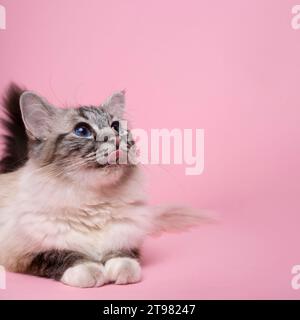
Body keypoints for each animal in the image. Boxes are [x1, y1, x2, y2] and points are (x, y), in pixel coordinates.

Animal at [0, 84, 206, 288]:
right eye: (82, 130)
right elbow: (62, 255)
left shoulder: (128, 239)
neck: (95, 203)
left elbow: (122, 255)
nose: (115, 138)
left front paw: (121, 269)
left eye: (115, 126)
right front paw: (91, 271)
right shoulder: (24, 254)